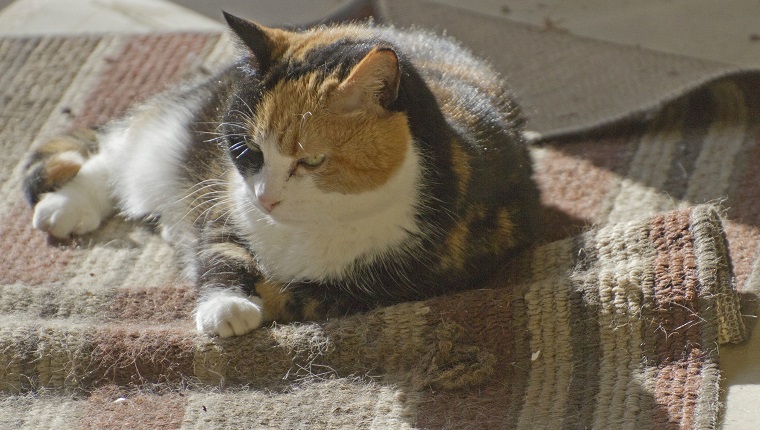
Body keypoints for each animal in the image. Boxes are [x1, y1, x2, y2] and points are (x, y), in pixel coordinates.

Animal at [22, 11, 540, 338]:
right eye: (245, 149)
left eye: (311, 162)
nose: (265, 199)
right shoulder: (224, 203)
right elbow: (220, 250)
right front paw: (225, 305)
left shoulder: (388, 286)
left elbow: (296, 295)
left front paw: (255, 300)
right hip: (174, 135)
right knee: (119, 153)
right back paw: (64, 207)